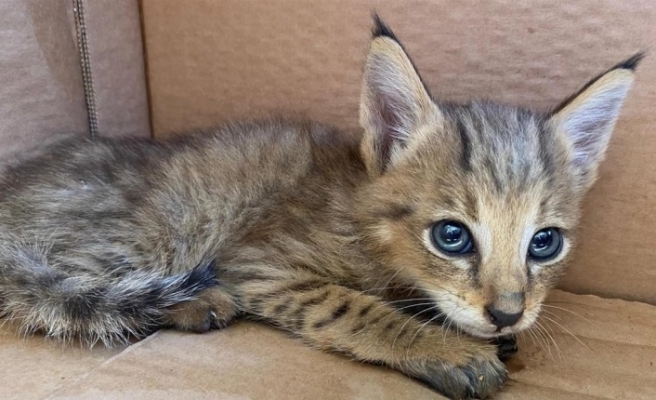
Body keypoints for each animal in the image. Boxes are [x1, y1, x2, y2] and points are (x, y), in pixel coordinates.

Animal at [0, 14, 644, 396]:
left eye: (545, 243)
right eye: (452, 236)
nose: (509, 314)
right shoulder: (258, 261)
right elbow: (353, 307)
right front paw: (441, 345)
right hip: (160, 226)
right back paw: (197, 300)